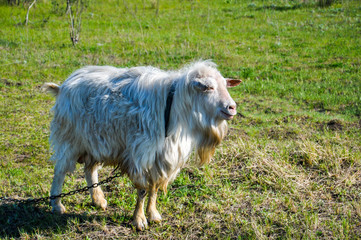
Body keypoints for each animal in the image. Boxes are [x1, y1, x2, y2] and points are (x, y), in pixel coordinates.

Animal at [45, 61, 240, 230]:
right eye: (208, 87)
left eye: (225, 85)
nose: (232, 107)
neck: (174, 108)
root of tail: (62, 87)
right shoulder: (141, 155)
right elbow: (142, 190)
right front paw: (139, 220)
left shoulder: (160, 158)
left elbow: (154, 189)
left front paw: (153, 214)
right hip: (69, 139)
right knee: (60, 171)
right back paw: (57, 204)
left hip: (95, 141)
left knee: (90, 170)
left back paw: (98, 200)